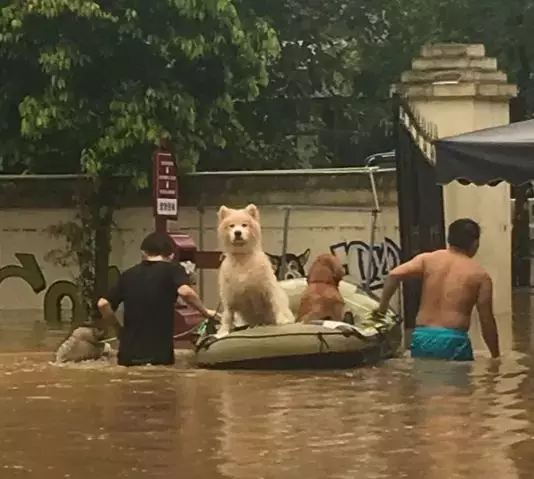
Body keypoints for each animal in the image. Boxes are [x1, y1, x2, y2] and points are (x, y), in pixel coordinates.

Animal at [218, 203, 298, 338]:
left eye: (244, 225)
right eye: (231, 226)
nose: (237, 232)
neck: (242, 259)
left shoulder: (268, 287)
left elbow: (276, 303)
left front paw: (282, 320)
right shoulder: (229, 295)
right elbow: (228, 315)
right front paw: (223, 331)